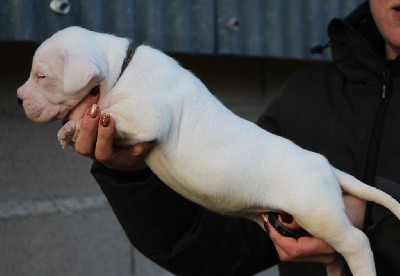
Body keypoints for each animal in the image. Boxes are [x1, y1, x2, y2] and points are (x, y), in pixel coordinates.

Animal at [18, 26, 400, 276]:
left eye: (41, 76)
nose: (19, 99)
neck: (121, 67)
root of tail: (327, 167)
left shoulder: (149, 113)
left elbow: (115, 111)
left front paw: (81, 122)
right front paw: (71, 128)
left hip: (317, 212)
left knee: (355, 242)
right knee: (335, 256)